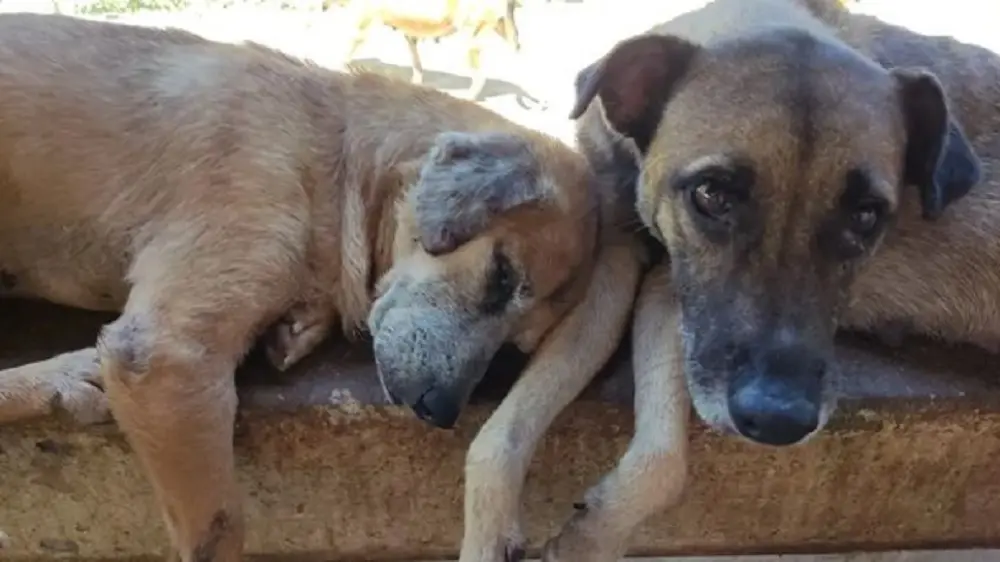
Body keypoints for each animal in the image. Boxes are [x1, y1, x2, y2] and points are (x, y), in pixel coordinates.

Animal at [0, 12, 647, 561]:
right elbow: (219, 525)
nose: (439, 412)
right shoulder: (165, 354)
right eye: (502, 274)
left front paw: (299, 324)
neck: (333, 153)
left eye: (518, 347)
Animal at [337, 0, 521, 101]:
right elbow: (416, 62)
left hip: (469, 39)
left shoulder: (365, 20)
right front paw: (416, 83)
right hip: (496, 28)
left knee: (480, 75)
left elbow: (351, 45)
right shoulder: (409, 34)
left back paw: (468, 97)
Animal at [450, 0, 1000, 560]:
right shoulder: (626, 270)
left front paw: (589, 537)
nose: (778, 420)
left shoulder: (669, 291)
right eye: (712, 193)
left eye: (866, 216)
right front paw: (491, 532)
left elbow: (662, 464)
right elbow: (504, 433)